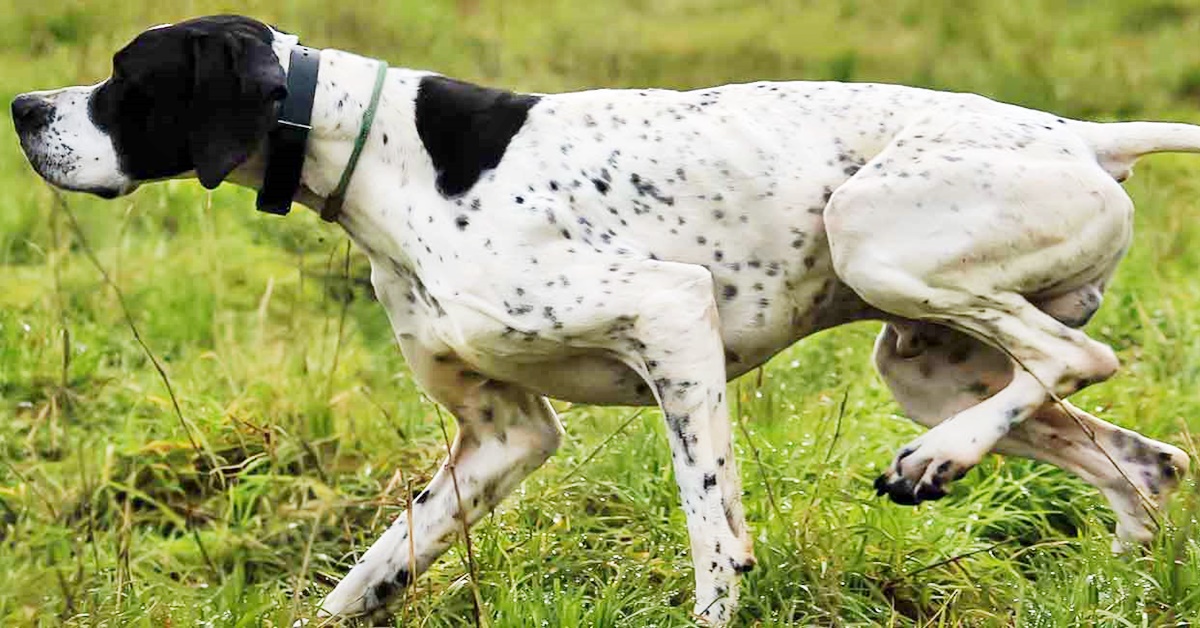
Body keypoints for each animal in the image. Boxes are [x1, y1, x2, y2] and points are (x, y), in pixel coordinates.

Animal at [11, 13, 1200, 624]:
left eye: (124, 78)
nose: (22, 107)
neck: (384, 154)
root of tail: (1086, 136)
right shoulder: (502, 437)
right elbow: (374, 568)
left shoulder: (672, 318)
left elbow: (715, 535)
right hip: (922, 360)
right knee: (1143, 459)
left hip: (876, 241)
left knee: (1077, 353)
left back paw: (938, 460)